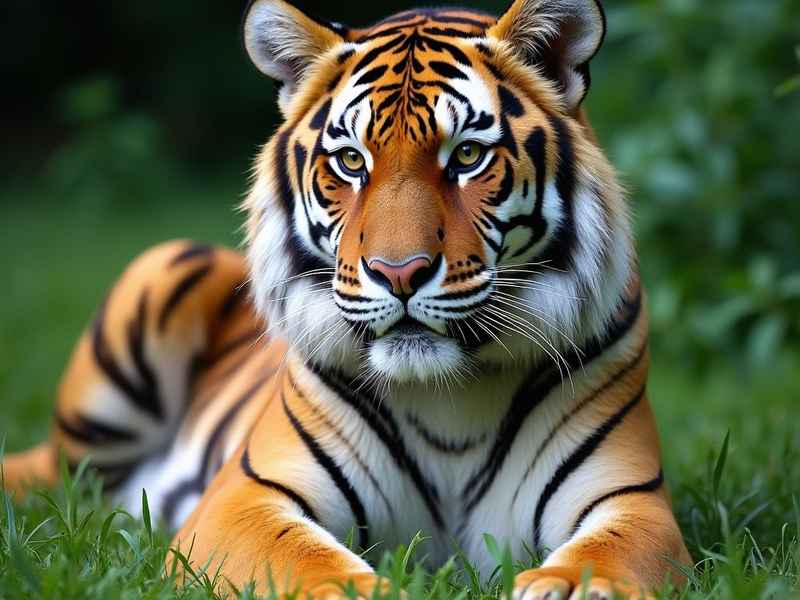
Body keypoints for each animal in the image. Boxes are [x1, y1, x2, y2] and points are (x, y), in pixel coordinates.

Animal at [3, 0, 692, 597]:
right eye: (352, 162)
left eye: (468, 155)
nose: (399, 272)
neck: (451, 401)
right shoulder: (245, 497)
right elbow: (306, 562)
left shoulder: (629, 498)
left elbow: (607, 556)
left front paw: (571, 586)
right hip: (159, 281)